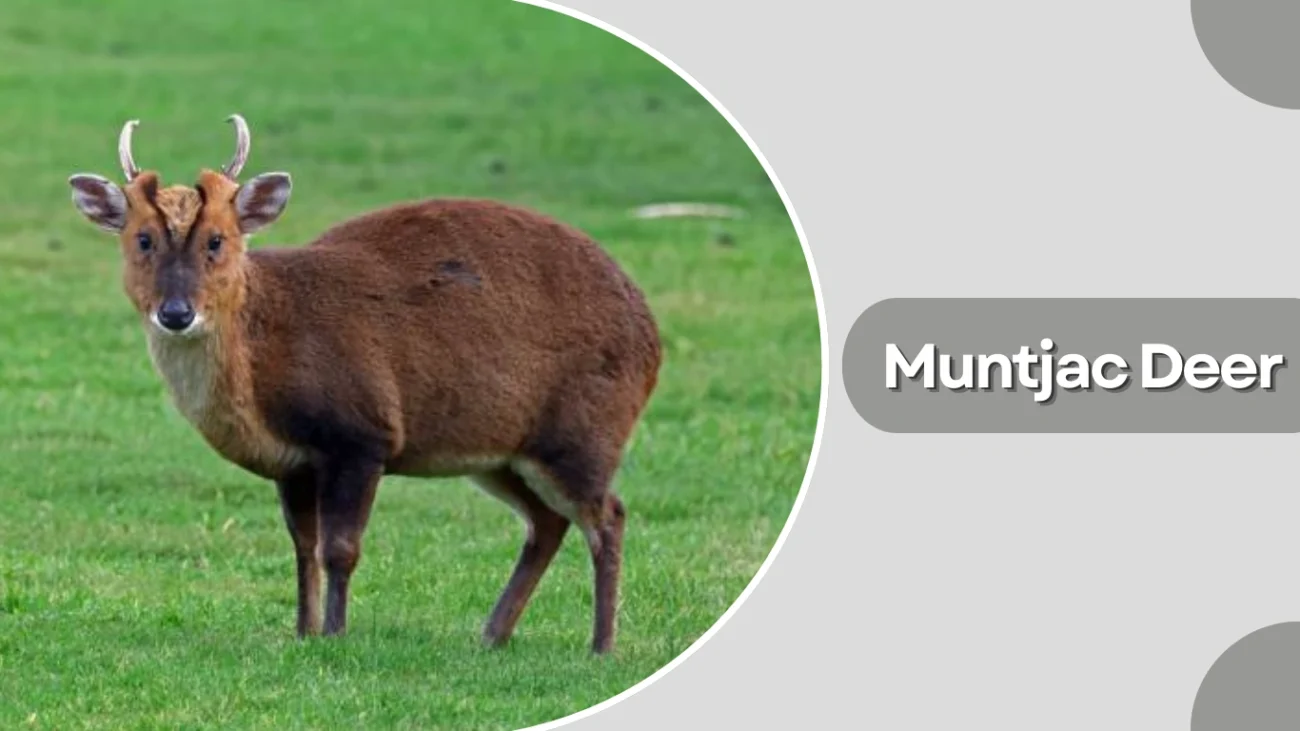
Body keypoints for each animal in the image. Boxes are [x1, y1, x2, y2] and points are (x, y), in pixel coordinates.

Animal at [66, 115, 661, 654]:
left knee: (608, 516)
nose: (175, 312)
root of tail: (652, 336)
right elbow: (303, 545)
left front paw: (335, 633)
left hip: (583, 430)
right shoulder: (292, 462)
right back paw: (492, 636)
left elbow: (340, 548)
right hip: (503, 454)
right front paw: (303, 631)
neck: (265, 369)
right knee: (547, 522)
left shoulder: (362, 434)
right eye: (142, 239)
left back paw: (601, 645)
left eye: (217, 240)